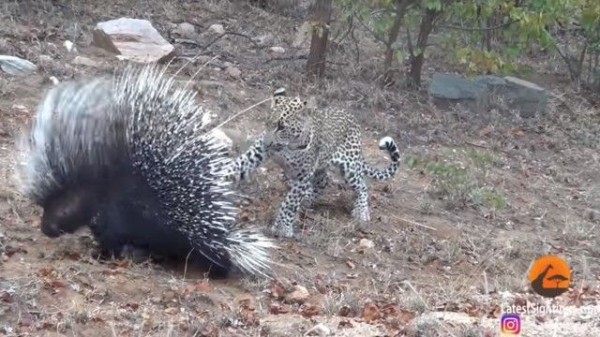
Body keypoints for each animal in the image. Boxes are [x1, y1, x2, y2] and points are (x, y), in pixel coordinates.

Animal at [227, 88, 400, 238]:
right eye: (267, 123)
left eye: (281, 127)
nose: (267, 143)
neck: (287, 146)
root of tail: (354, 120)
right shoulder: (257, 152)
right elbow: (238, 165)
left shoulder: (304, 174)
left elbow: (290, 202)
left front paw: (282, 228)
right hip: (322, 167)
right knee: (323, 182)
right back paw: (307, 198)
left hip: (349, 168)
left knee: (362, 185)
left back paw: (362, 212)